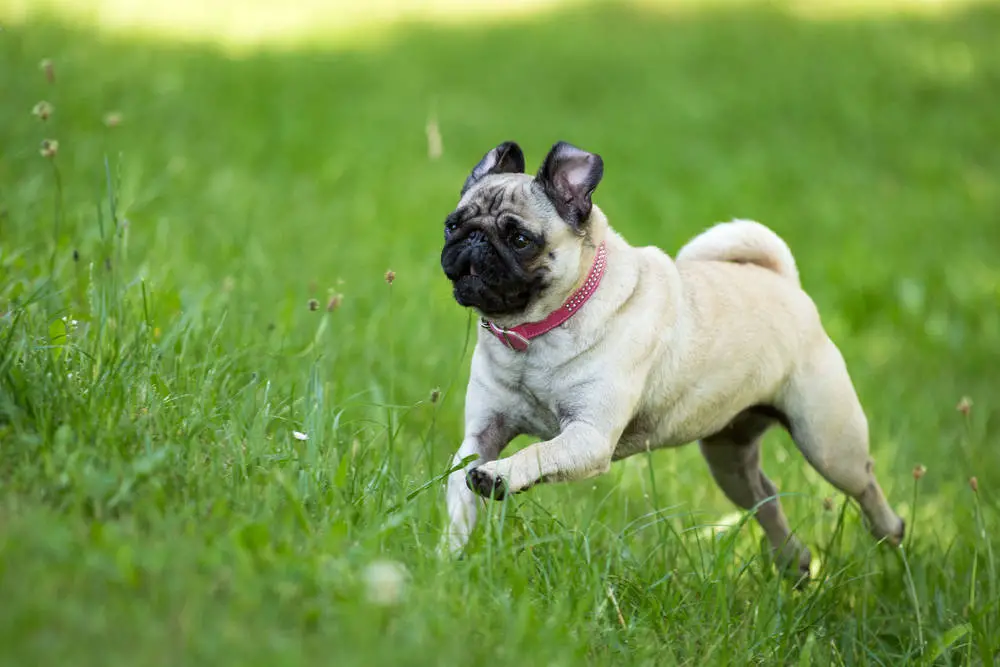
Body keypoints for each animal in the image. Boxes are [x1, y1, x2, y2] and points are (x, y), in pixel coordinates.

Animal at [440, 141, 908, 580]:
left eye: (520, 240)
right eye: (452, 225)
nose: (473, 240)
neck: (533, 334)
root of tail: (784, 282)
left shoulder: (588, 437)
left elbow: (538, 453)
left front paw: (499, 476)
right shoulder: (480, 436)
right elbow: (460, 493)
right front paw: (450, 556)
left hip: (828, 443)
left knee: (864, 482)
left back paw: (890, 531)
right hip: (729, 459)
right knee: (766, 498)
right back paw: (794, 563)